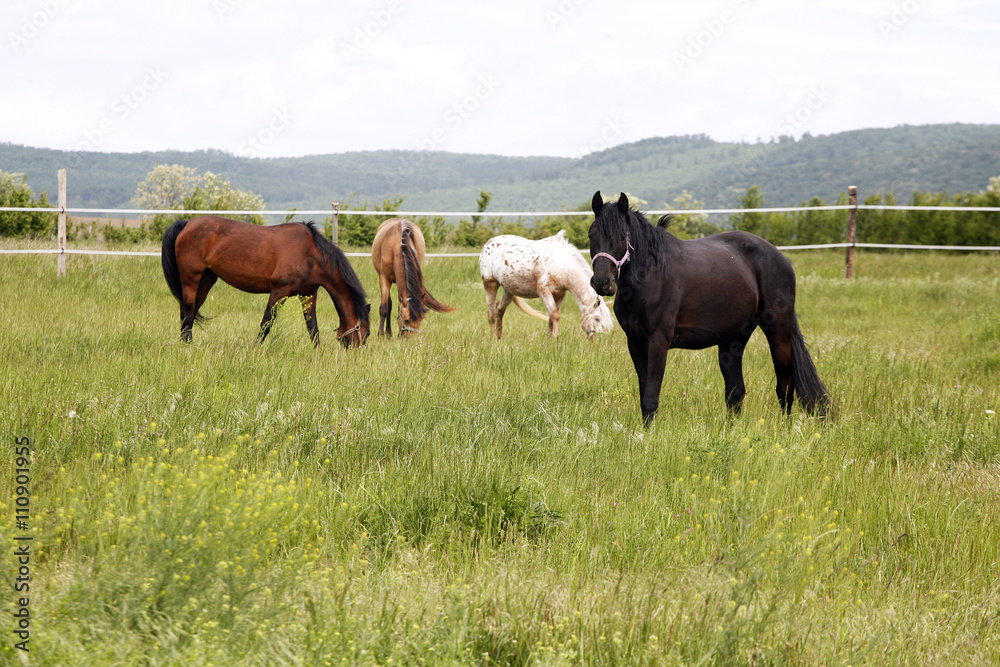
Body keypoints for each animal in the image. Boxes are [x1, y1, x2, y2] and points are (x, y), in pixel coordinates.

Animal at [161, 215, 372, 350]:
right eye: (367, 333)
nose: (357, 354)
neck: (311, 254)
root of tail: (187, 223)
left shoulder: (308, 294)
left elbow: (312, 327)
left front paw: (317, 352)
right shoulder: (279, 292)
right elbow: (266, 323)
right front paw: (255, 349)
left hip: (206, 280)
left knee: (188, 313)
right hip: (191, 280)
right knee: (187, 313)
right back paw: (188, 346)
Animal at [478, 232, 612, 342]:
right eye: (597, 318)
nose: (595, 339)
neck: (560, 264)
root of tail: (489, 242)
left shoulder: (559, 294)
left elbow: (552, 317)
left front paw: (549, 338)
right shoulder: (544, 291)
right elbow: (555, 315)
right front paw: (555, 338)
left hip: (509, 291)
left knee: (500, 309)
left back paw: (499, 337)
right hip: (490, 284)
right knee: (491, 313)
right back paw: (493, 339)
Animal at [584, 192, 828, 428]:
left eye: (621, 237)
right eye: (591, 235)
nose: (602, 282)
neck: (651, 275)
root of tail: (781, 258)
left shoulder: (658, 342)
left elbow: (651, 398)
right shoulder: (635, 343)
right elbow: (645, 395)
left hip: (779, 331)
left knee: (784, 387)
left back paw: (784, 430)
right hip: (733, 340)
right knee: (735, 392)